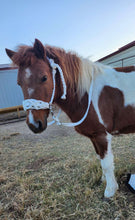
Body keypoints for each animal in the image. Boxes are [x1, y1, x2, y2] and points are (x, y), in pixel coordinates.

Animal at [5, 39, 135, 198]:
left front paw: (110, 191)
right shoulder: (94, 136)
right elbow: (100, 158)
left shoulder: (102, 135)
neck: (86, 94)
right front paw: (104, 180)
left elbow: (106, 162)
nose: (34, 124)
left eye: (44, 77)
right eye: (19, 83)